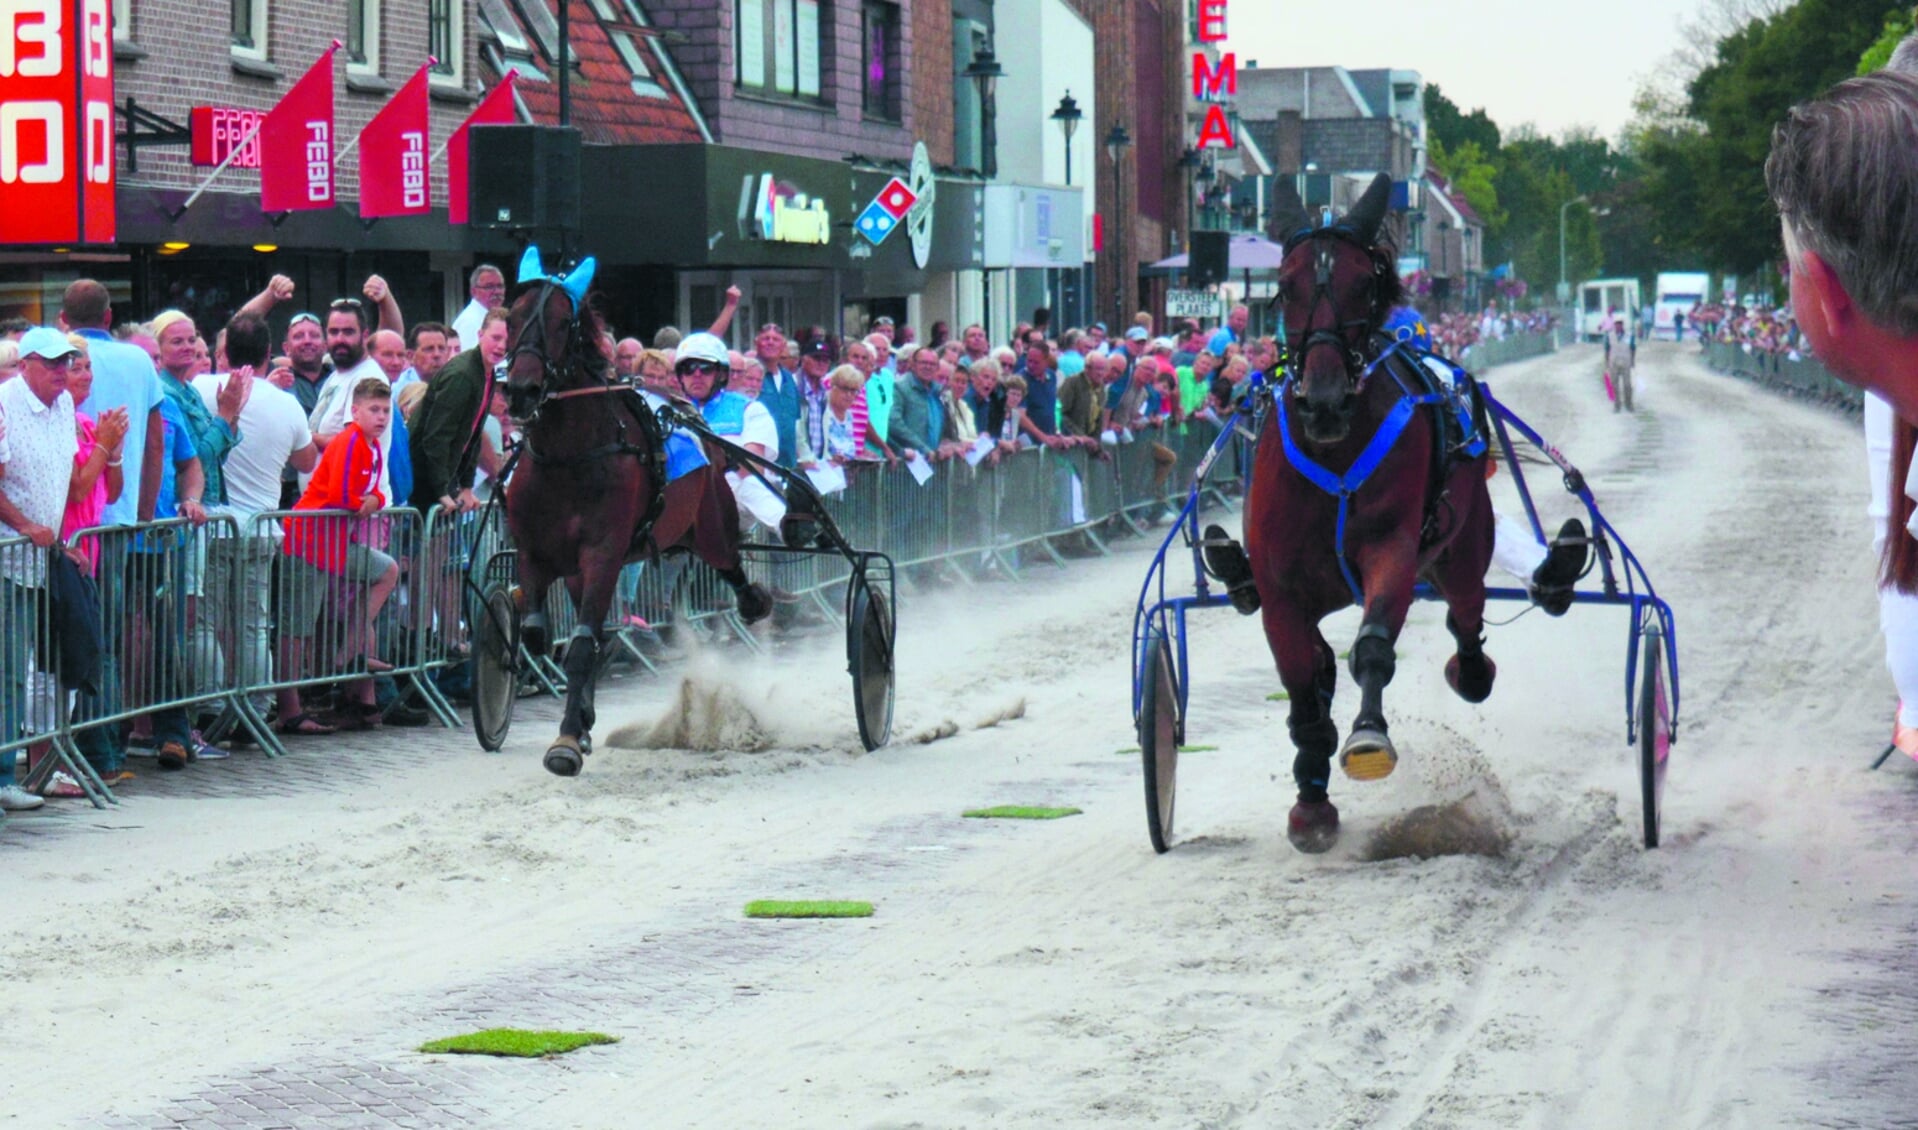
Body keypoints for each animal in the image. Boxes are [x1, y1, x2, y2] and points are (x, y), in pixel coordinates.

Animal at [498, 247, 774, 775]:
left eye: (563, 322)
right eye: (510, 318)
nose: (521, 390)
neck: (568, 456)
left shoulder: (604, 553)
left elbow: (581, 644)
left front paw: (567, 740)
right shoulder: (534, 552)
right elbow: (540, 635)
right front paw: (577, 720)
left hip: (710, 524)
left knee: (729, 561)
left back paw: (756, 601)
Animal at [1242, 173, 1496, 844]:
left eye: (1365, 283)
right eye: (1284, 286)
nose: (1324, 401)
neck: (1333, 454)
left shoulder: (1392, 549)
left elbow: (1374, 649)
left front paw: (1366, 738)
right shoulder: (1279, 589)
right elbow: (1302, 686)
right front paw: (1310, 801)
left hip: (1465, 547)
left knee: (1466, 615)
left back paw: (1470, 671)